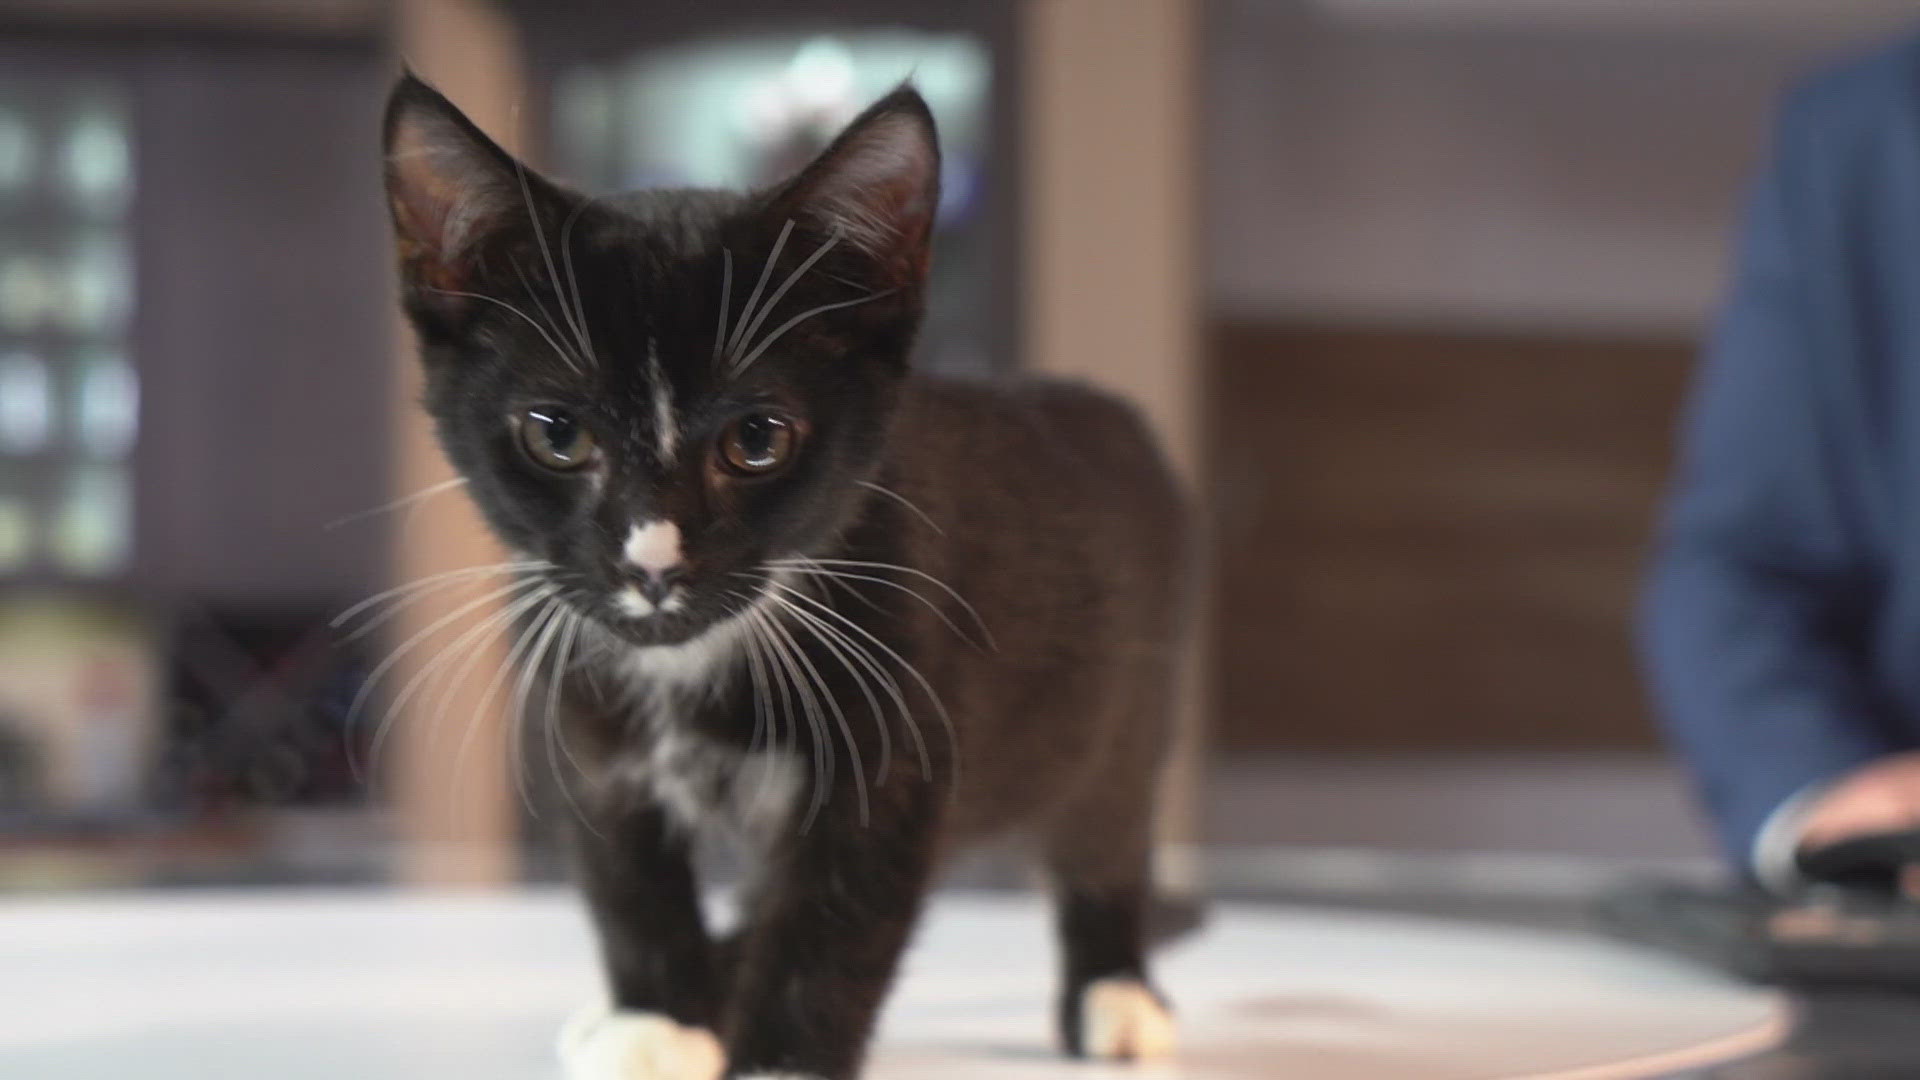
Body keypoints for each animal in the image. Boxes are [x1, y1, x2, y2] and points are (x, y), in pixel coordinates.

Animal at [380, 75, 1182, 1076]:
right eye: (556, 434)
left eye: (757, 440)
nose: (653, 560)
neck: (692, 665)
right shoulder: (586, 721)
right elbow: (624, 873)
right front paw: (659, 1019)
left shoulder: (900, 732)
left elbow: (834, 919)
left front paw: (777, 1054)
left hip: (1127, 709)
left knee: (1107, 830)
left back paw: (1116, 991)